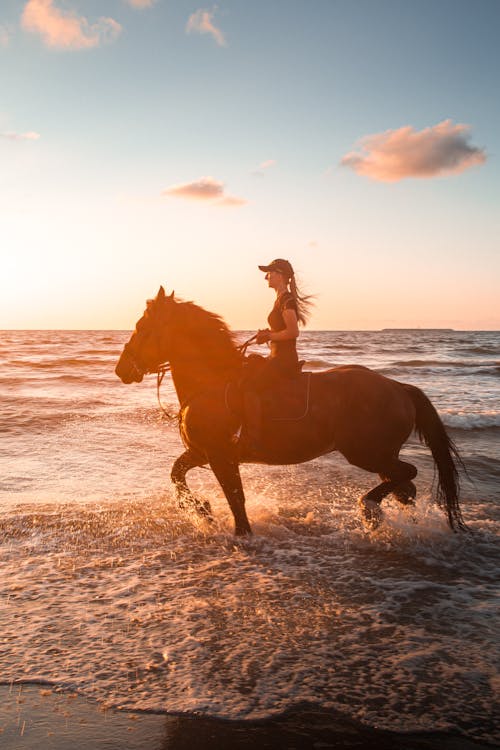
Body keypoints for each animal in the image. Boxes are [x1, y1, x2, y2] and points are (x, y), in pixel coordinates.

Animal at [113, 284, 464, 536]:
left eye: (142, 326)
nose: (121, 369)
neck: (210, 381)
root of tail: (399, 388)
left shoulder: (220, 455)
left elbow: (235, 497)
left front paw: (238, 531)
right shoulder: (203, 452)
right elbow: (176, 475)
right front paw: (203, 510)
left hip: (366, 453)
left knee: (408, 475)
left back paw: (369, 509)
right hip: (382, 454)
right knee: (406, 488)